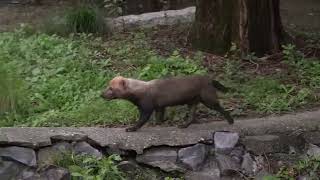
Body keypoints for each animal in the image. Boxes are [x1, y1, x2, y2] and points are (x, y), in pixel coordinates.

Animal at [101, 74, 234, 132]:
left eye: (111, 88)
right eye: (108, 86)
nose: (101, 94)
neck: (140, 91)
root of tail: (210, 79)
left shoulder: (147, 106)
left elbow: (142, 120)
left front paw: (131, 128)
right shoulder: (159, 106)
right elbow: (159, 117)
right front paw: (159, 124)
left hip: (207, 99)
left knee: (220, 108)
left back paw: (231, 121)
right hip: (192, 102)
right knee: (191, 117)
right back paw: (183, 125)